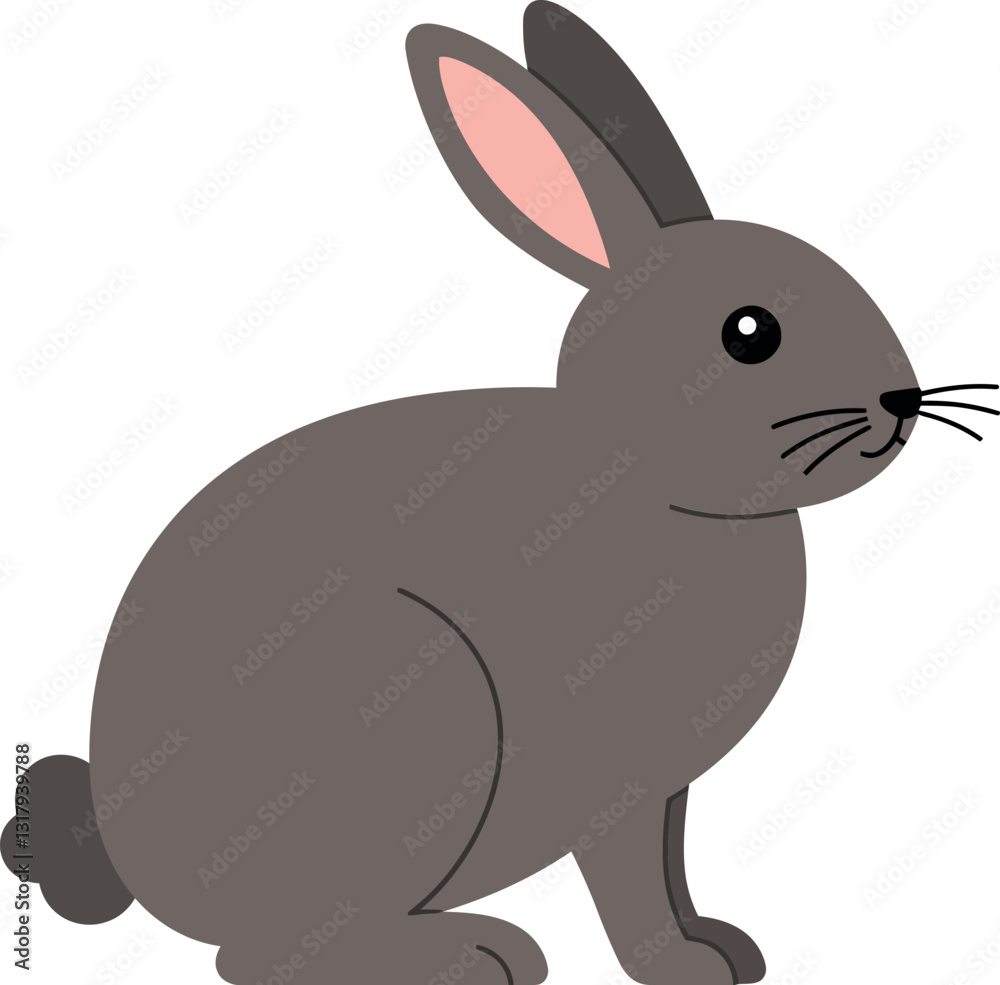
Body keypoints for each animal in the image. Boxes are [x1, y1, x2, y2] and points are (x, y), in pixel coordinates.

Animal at [5, 4, 997, 985]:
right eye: (750, 333)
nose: (901, 402)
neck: (649, 473)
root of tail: (128, 852)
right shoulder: (614, 784)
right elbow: (631, 883)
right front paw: (681, 965)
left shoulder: (666, 789)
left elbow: (671, 865)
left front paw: (722, 945)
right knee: (262, 953)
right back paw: (480, 954)